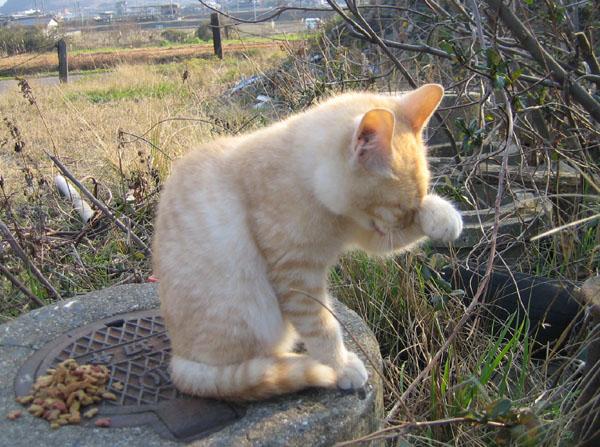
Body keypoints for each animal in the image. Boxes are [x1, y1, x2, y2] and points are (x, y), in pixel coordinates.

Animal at [154, 85, 464, 402]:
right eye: (398, 208)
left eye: (413, 205)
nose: (403, 220)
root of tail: (179, 362)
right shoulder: (297, 278)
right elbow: (322, 327)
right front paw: (339, 366)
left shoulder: (368, 234)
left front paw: (444, 216)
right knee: (250, 370)